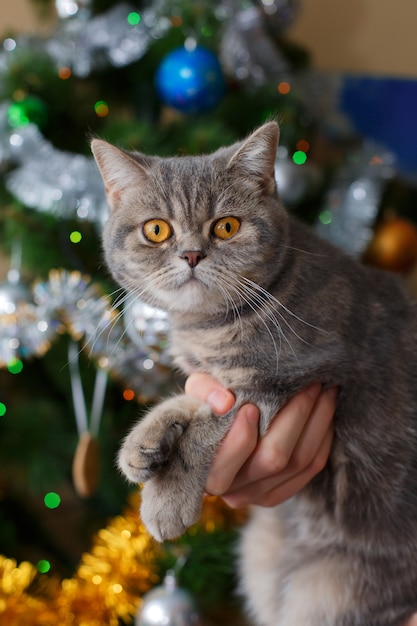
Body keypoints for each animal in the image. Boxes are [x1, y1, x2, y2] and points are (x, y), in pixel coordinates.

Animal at [91, 123, 416, 624]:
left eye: (226, 227)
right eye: (156, 230)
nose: (191, 255)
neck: (205, 328)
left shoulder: (293, 378)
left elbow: (207, 428)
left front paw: (166, 500)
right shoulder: (221, 380)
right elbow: (194, 400)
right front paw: (141, 444)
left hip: (328, 597)